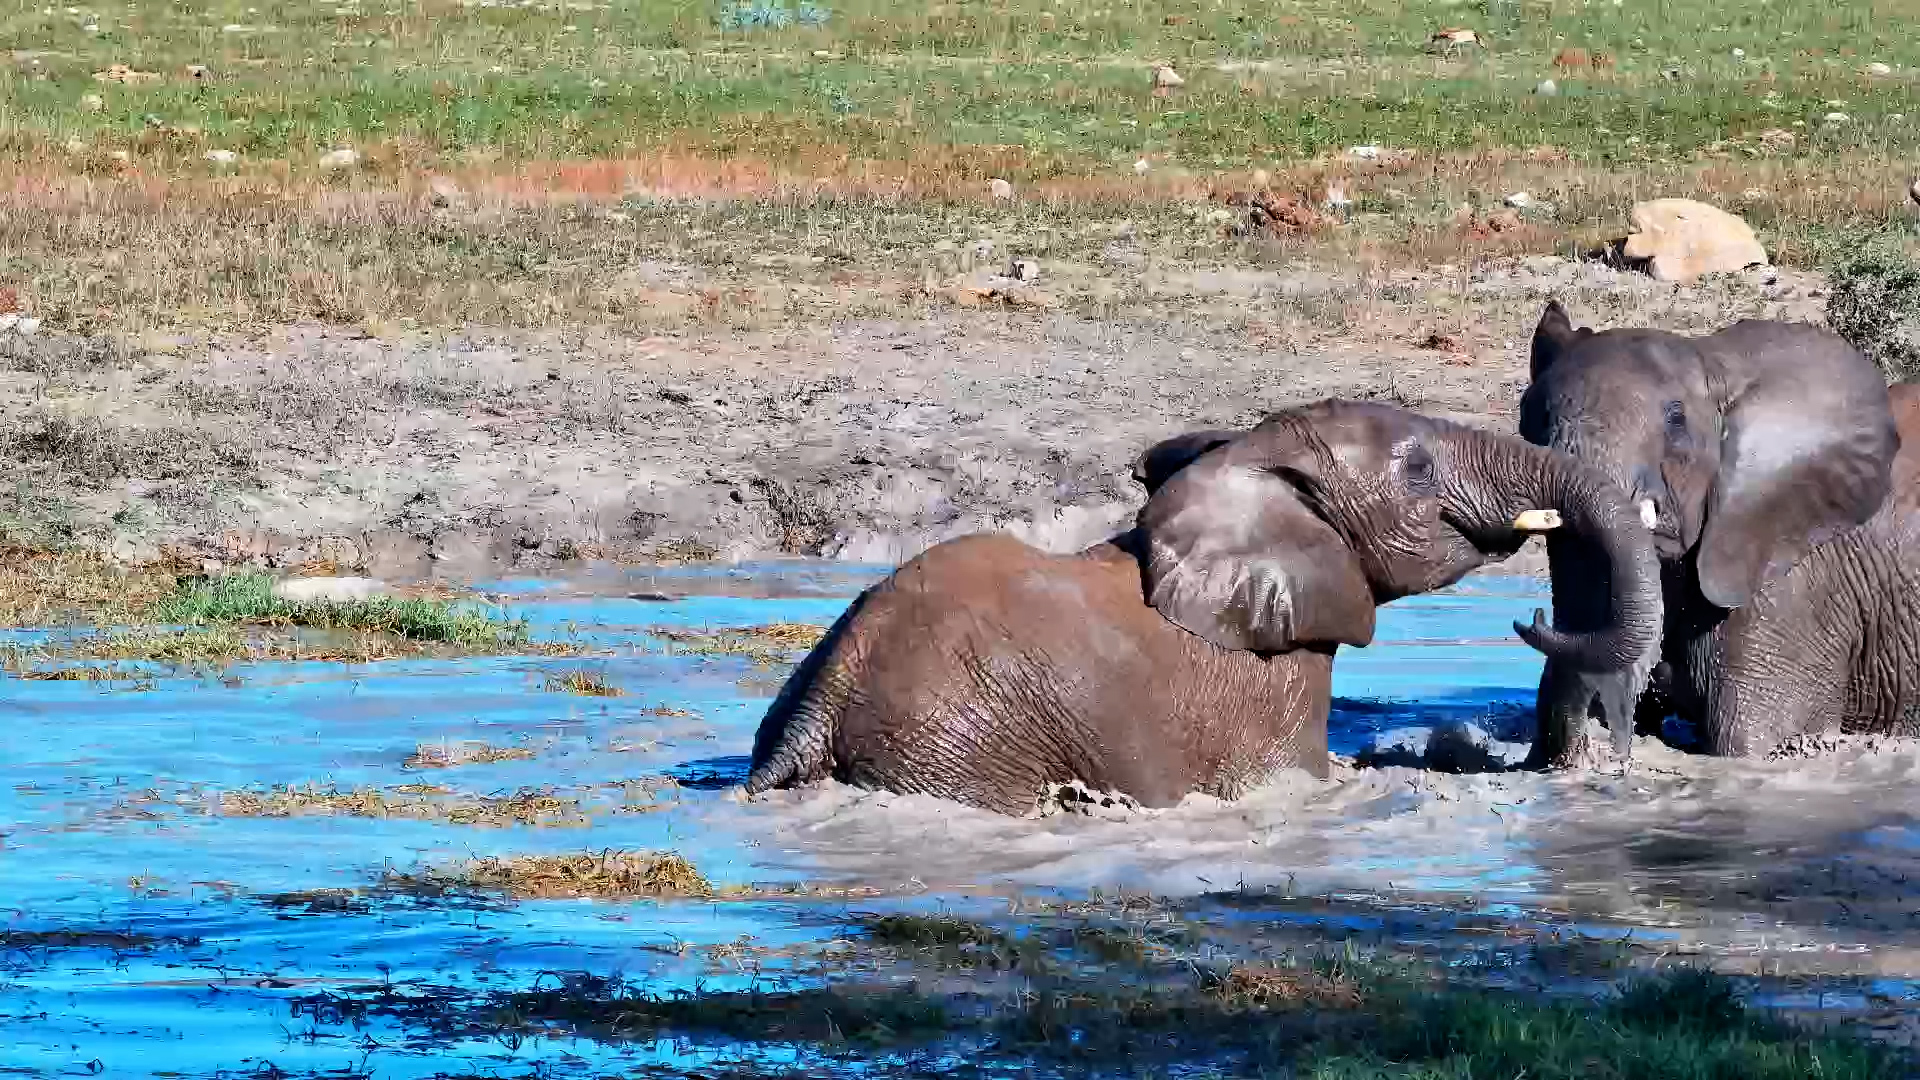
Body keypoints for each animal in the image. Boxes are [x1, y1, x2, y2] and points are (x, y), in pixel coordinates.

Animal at [744, 399, 1660, 815]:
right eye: (1418, 470)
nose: (1533, 620)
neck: (1244, 463)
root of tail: (820, 705)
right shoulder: (1276, 682)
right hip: (955, 750)